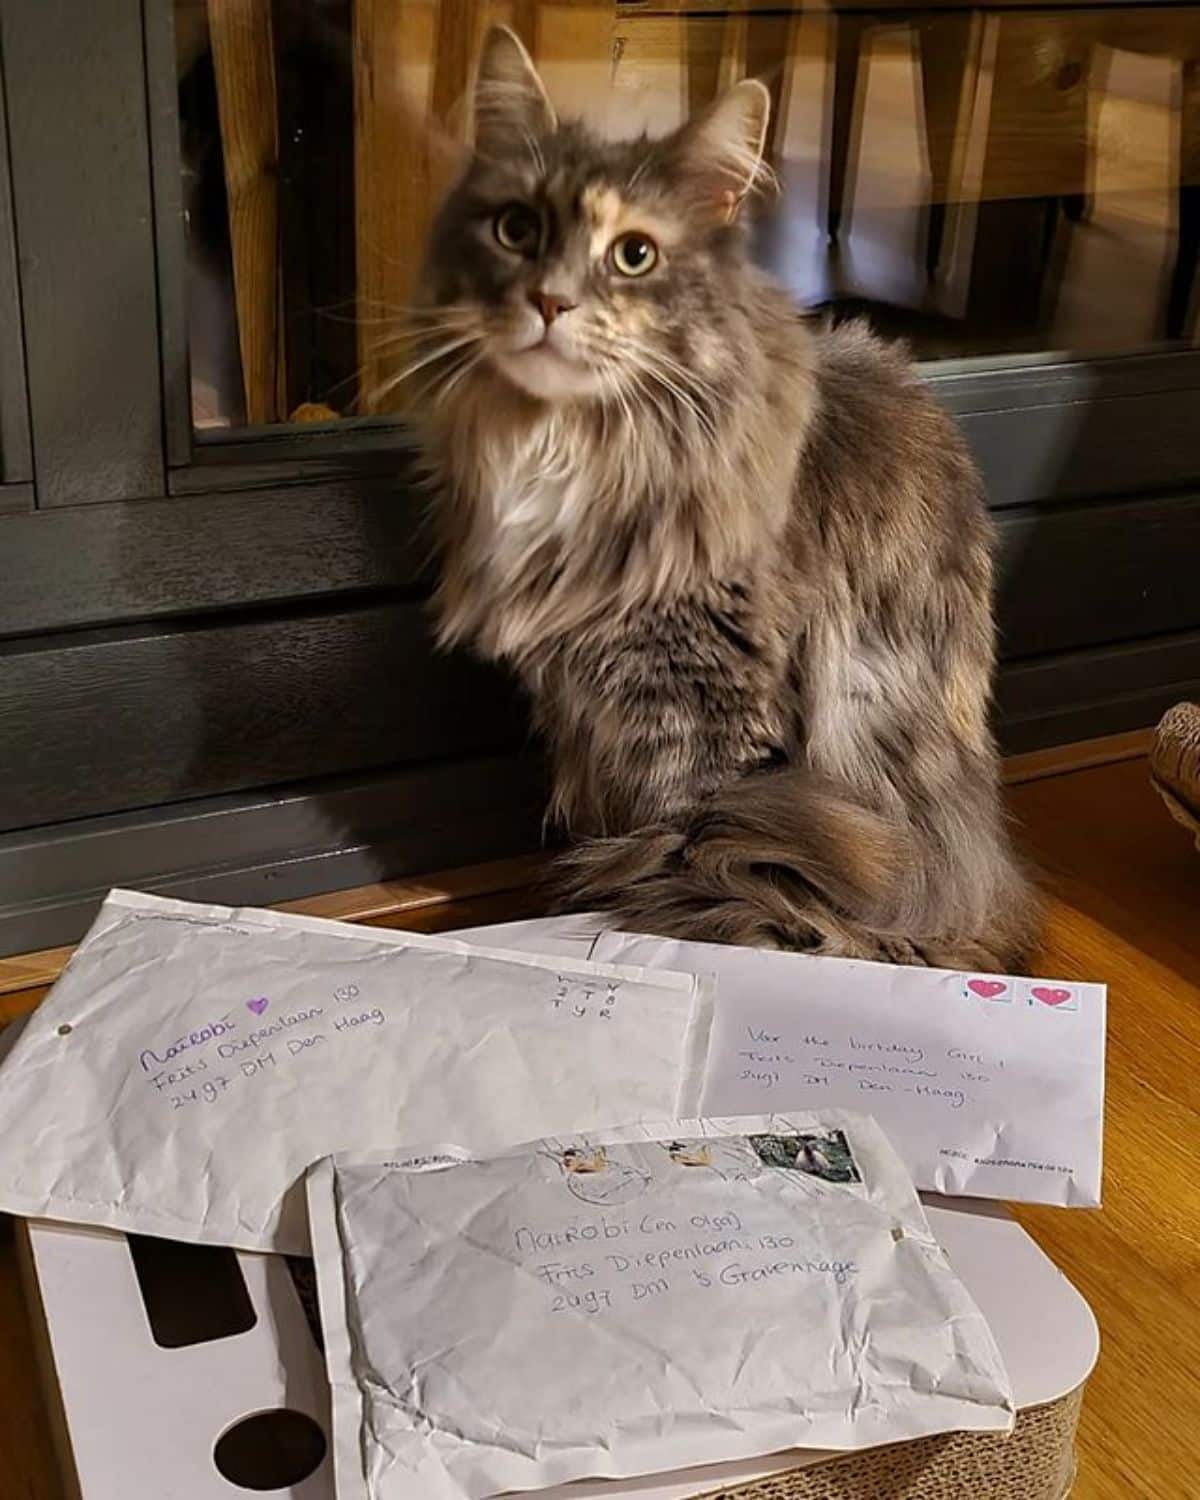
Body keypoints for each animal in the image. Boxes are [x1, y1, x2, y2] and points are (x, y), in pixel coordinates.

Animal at [405, 26, 1038, 972]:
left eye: (634, 254)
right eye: (516, 229)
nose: (550, 301)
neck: (579, 446)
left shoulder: (708, 701)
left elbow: (696, 830)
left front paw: (672, 916)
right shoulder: (584, 694)